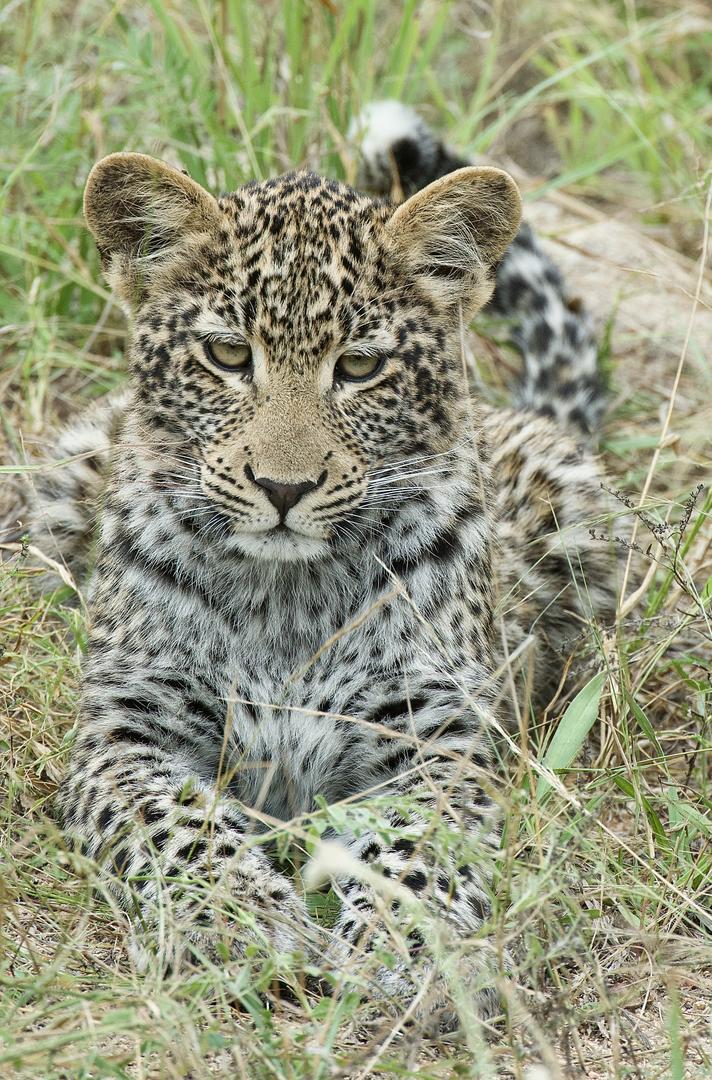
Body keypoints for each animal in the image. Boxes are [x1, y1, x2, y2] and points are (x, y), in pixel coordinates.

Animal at [21, 101, 615, 1025]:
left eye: (360, 367)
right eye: (228, 356)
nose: (283, 487)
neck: (285, 596)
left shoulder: (441, 737)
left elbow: (420, 846)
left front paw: (402, 949)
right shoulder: (124, 734)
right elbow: (179, 827)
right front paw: (245, 923)